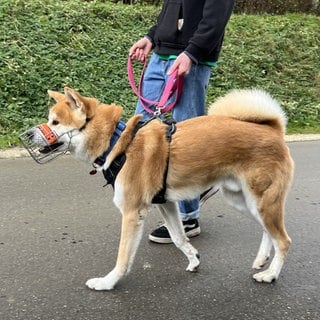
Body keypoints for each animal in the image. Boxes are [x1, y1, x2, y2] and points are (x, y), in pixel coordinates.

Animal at [21, 87, 294, 290]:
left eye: (55, 122)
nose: (28, 133)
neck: (118, 144)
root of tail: (273, 129)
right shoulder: (167, 203)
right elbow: (179, 238)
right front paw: (193, 259)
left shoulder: (132, 213)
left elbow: (123, 257)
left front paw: (108, 282)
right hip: (243, 201)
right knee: (268, 232)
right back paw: (262, 260)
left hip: (262, 202)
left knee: (283, 240)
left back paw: (270, 274)